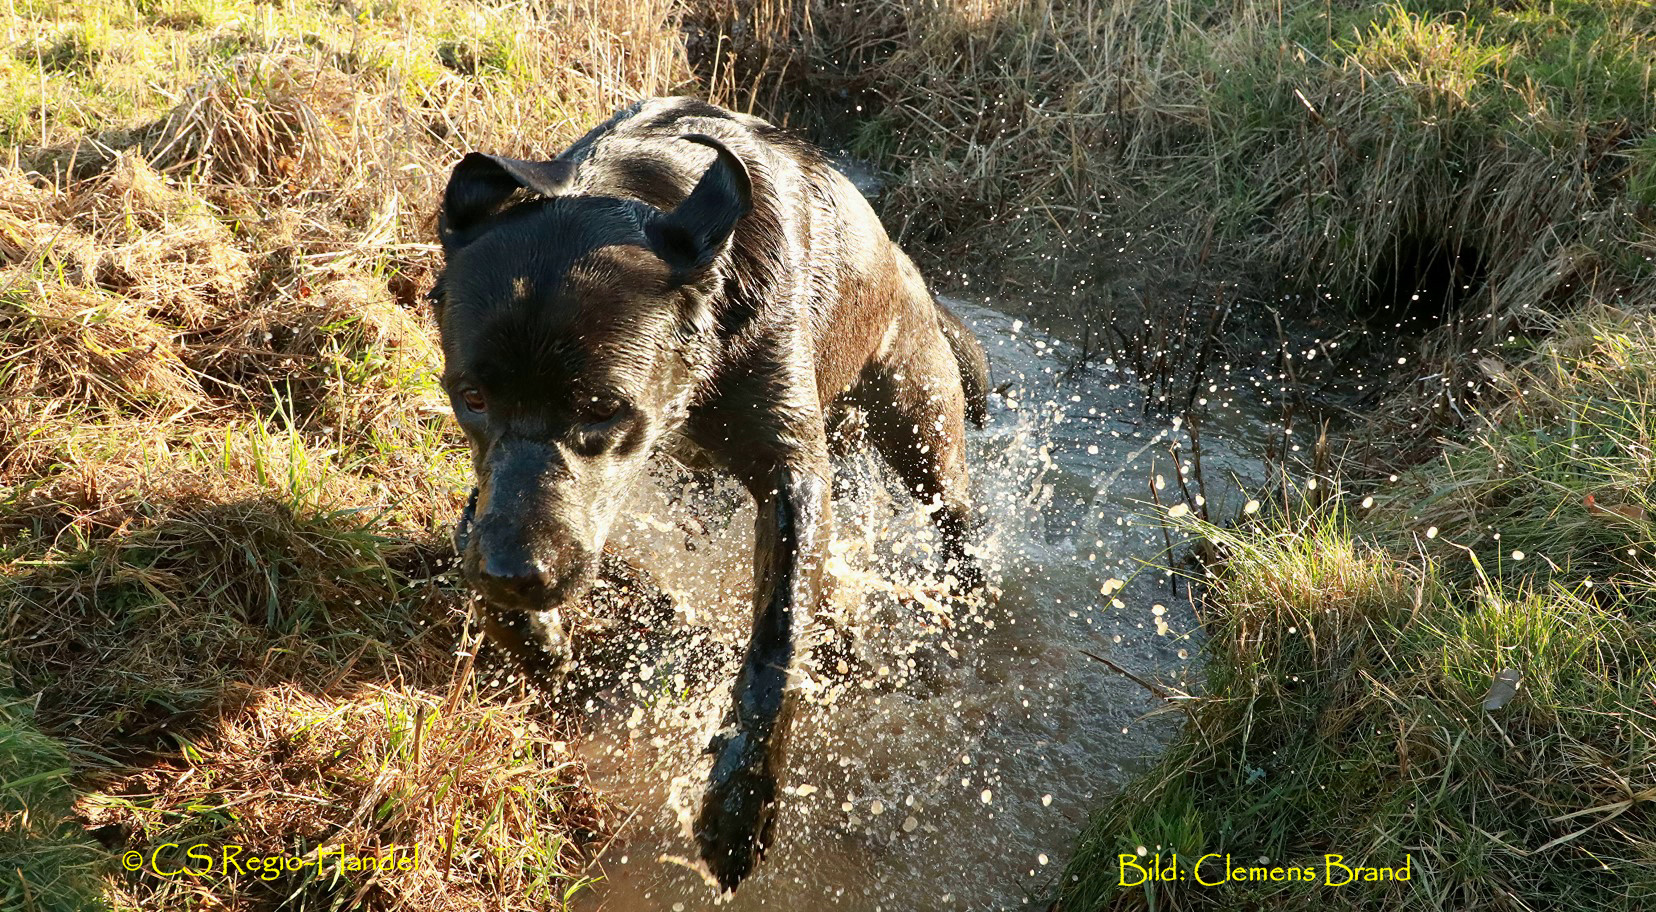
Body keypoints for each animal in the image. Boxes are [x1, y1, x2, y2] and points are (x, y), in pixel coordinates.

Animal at [433, 100, 986, 893]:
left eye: (602, 408)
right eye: (470, 397)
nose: (515, 574)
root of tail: (908, 267)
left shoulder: (793, 475)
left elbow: (778, 641)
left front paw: (741, 804)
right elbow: (468, 527)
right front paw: (536, 641)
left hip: (920, 426)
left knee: (955, 524)